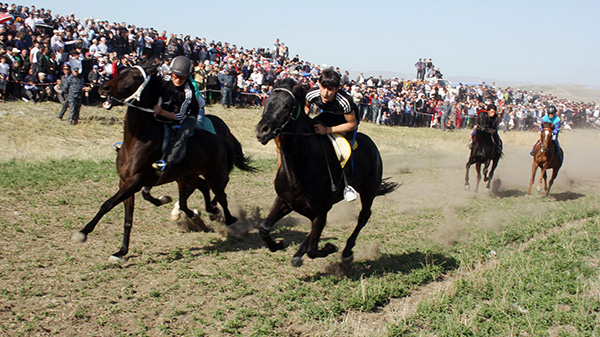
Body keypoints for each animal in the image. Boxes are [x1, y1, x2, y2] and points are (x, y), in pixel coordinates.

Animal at [71, 59, 247, 260]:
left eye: (135, 77)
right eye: (121, 71)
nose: (104, 88)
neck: (138, 140)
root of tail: (219, 139)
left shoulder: (136, 180)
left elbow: (107, 204)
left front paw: (82, 233)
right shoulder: (125, 182)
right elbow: (128, 218)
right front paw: (122, 251)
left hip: (214, 174)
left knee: (221, 194)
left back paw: (229, 219)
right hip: (187, 175)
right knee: (201, 188)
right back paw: (203, 212)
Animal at [254, 79, 398, 268]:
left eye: (286, 106)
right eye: (266, 102)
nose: (261, 131)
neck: (299, 169)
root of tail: (372, 145)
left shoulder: (321, 211)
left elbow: (313, 250)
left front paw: (330, 247)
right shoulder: (285, 201)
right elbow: (263, 228)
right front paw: (279, 244)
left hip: (369, 191)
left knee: (363, 216)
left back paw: (346, 251)